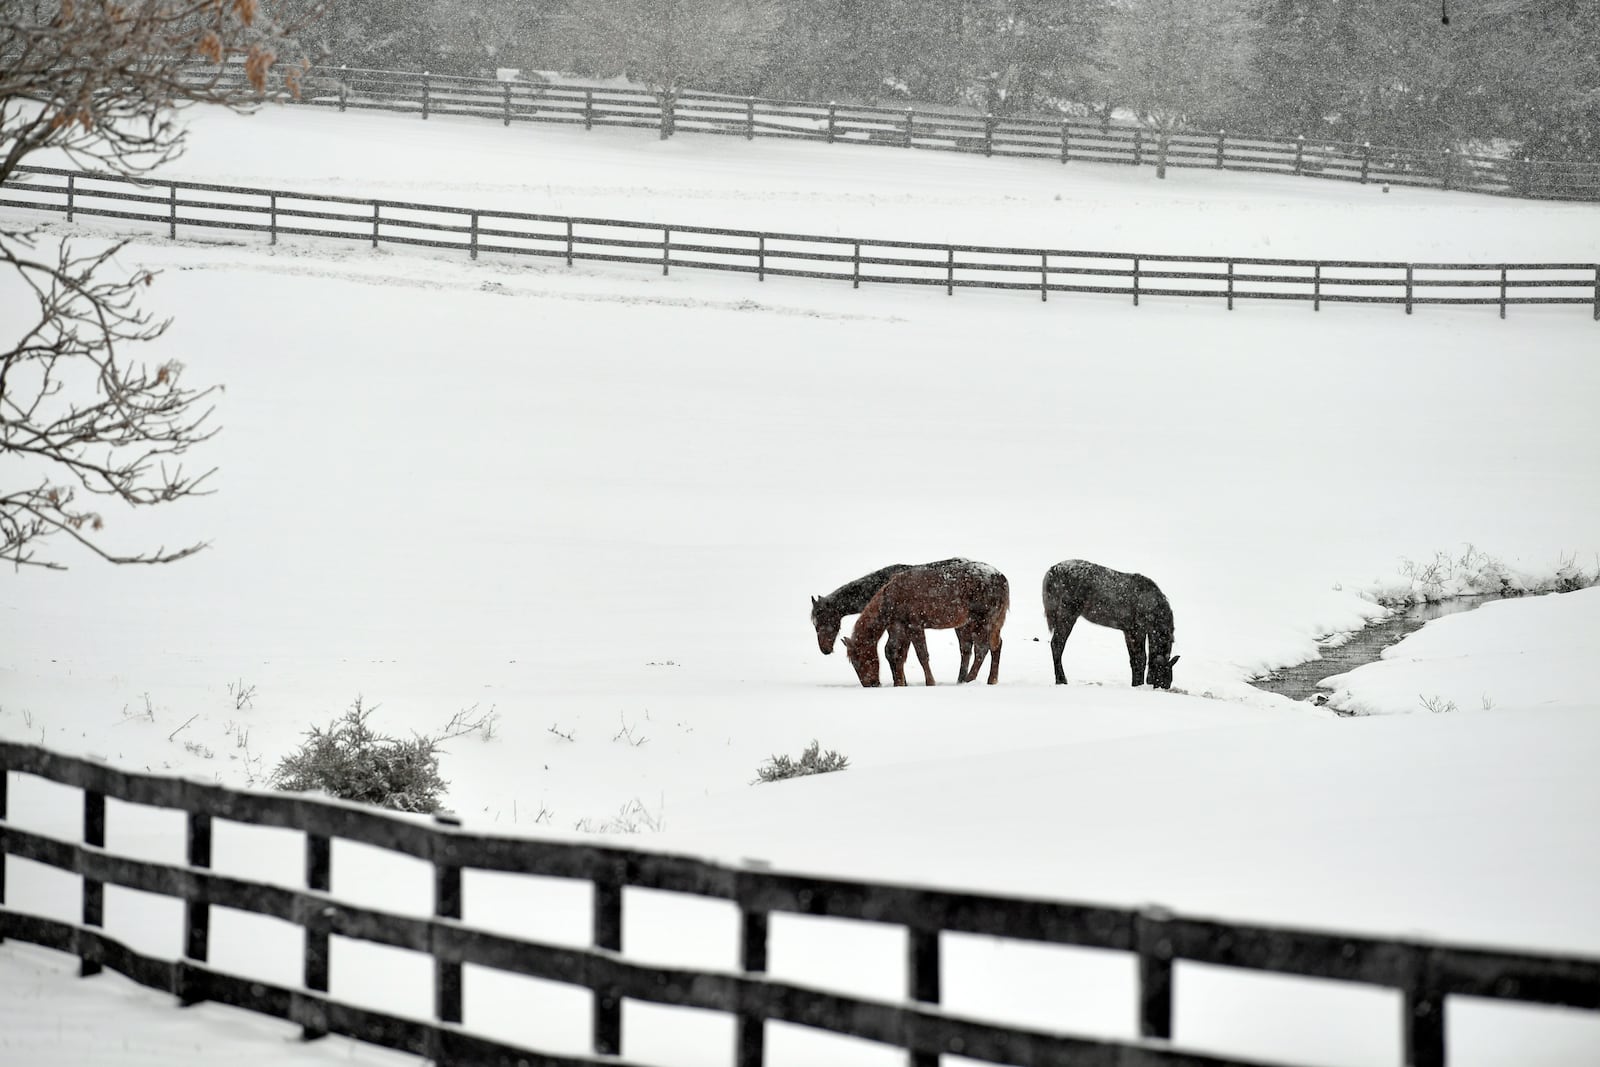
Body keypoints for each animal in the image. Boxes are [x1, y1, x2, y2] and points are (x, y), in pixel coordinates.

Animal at [844, 559, 1004, 694]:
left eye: (859, 660)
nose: (871, 684)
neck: (889, 602)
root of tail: (1003, 580)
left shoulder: (914, 624)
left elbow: (921, 655)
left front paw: (930, 682)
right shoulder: (898, 626)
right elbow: (893, 652)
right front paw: (899, 683)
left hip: (982, 620)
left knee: (982, 648)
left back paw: (969, 679)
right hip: (986, 621)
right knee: (994, 645)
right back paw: (989, 679)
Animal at [1043, 563, 1184, 687]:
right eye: (1161, 679)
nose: (1164, 687)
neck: (1153, 608)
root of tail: (1052, 571)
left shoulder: (1128, 631)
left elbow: (1134, 660)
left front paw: (1135, 684)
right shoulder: (1137, 630)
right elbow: (1140, 659)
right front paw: (1138, 684)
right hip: (1067, 614)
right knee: (1057, 645)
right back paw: (1061, 680)